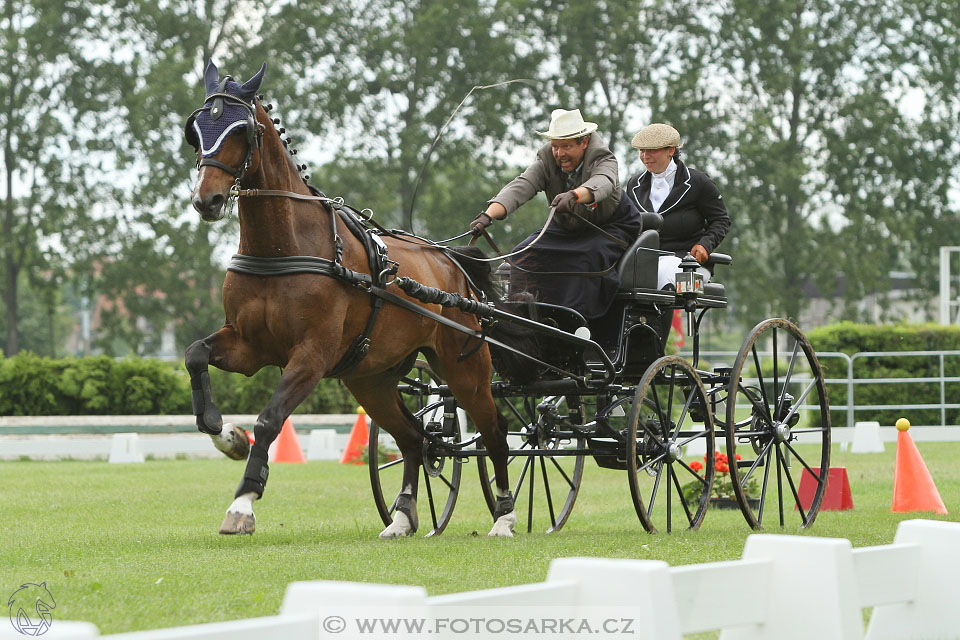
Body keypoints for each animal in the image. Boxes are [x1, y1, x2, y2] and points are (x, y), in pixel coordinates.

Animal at [186, 61, 516, 536]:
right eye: (196, 129)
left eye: (241, 130)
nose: (206, 199)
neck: (281, 248)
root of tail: (451, 262)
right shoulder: (249, 346)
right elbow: (196, 355)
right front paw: (227, 435)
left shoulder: (311, 355)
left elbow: (269, 418)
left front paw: (243, 502)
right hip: (370, 379)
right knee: (413, 438)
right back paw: (403, 516)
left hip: (463, 366)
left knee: (495, 429)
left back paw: (504, 515)